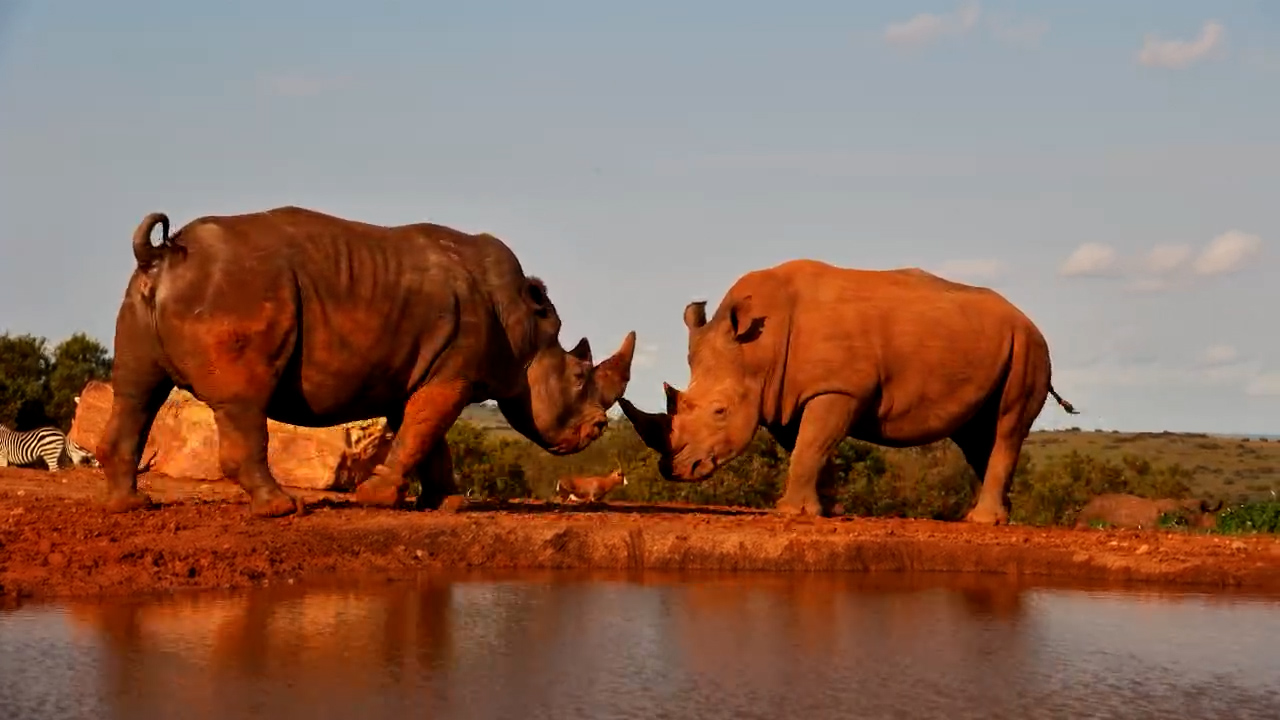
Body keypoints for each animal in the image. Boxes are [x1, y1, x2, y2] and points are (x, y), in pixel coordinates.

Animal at [98, 206, 636, 517]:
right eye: (578, 375)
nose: (596, 430)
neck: (525, 329)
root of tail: (168, 254)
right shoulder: (454, 370)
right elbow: (424, 428)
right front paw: (378, 500)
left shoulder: (427, 367)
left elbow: (426, 434)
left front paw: (446, 503)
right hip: (237, 290)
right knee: (243, 402)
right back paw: (282, 509)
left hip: (148, 296)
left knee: (136, 389)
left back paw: (130, 505)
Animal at [619, 259, 1078, 525]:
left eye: (719, 411)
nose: (675, 470)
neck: (757, 352)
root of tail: (1027, 318)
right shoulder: (786, 396)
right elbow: (809, 448)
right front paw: (825, 510)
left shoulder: (837, 389)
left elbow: (811, 446)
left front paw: (791, 512)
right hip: (994, 343)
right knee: (977, 435)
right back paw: (995, 518)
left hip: (1029, 347)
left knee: (1005, 427)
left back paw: (982, 522)